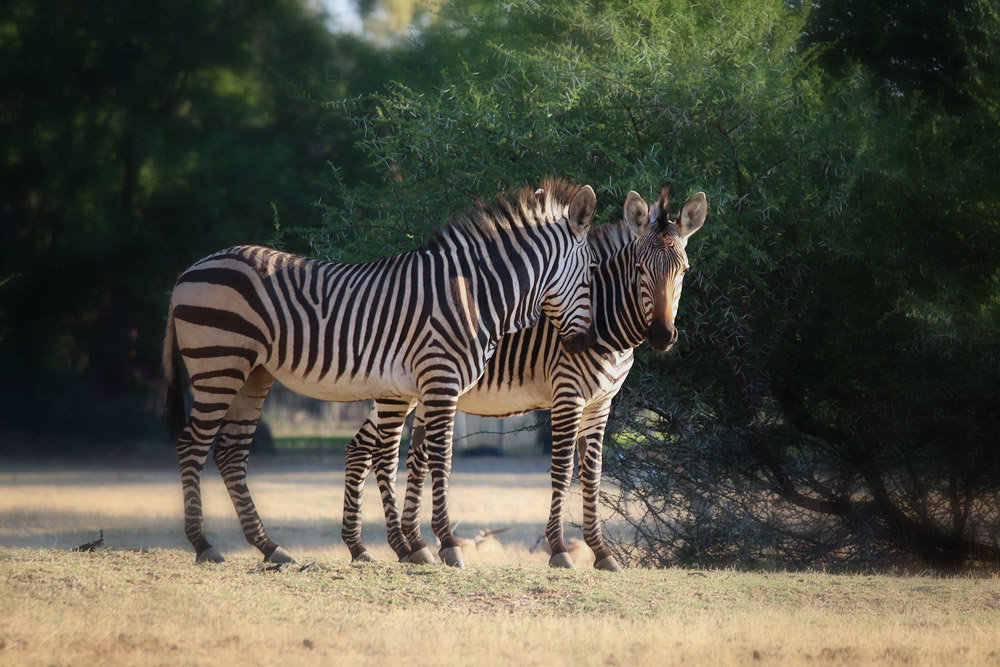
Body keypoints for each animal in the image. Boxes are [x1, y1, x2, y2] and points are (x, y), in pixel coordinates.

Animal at [161, 180, 596, 568]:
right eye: (593, 272)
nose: (587, 343)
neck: (475, 295)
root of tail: (189, 270)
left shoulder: (418, 386)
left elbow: (404, 459)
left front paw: (413, 546)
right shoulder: (442, 380)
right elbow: (441, 459)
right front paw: (447, 546)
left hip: (253, 374)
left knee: (230, 452)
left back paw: (270, 548)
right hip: (220, 366)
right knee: (192, 445)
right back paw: (204, 545)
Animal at [344, 187, 712, 568]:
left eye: (684, 270)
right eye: (640, 269)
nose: (662, 336)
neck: (604, 323)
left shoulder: (601, 403)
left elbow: (593, 475)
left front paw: (601, 552)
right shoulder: (567, 394)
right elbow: (563, 470)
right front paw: (561, 549)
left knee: (369, 450)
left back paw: (377, 547)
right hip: (397, 390)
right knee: (374, 452)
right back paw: (388, 545)